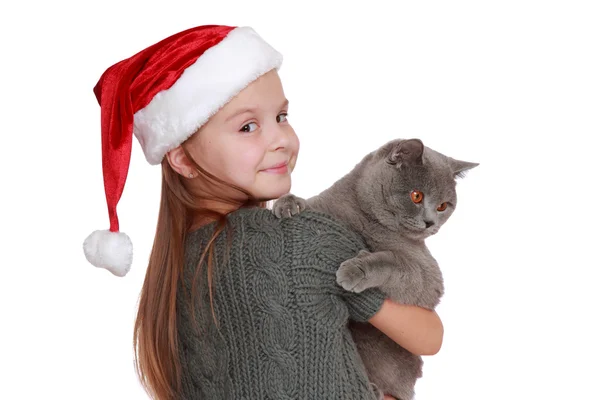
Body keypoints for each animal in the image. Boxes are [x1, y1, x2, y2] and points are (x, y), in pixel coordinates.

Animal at [274, 138, 478, 400]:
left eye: (443, 206)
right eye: (416, 196)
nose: (431, 222)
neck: (364, 218)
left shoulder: (428, 275)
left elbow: (389, 261)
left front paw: (354, 271)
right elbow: (307, 205)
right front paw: (288, 204)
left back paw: (372, 389)